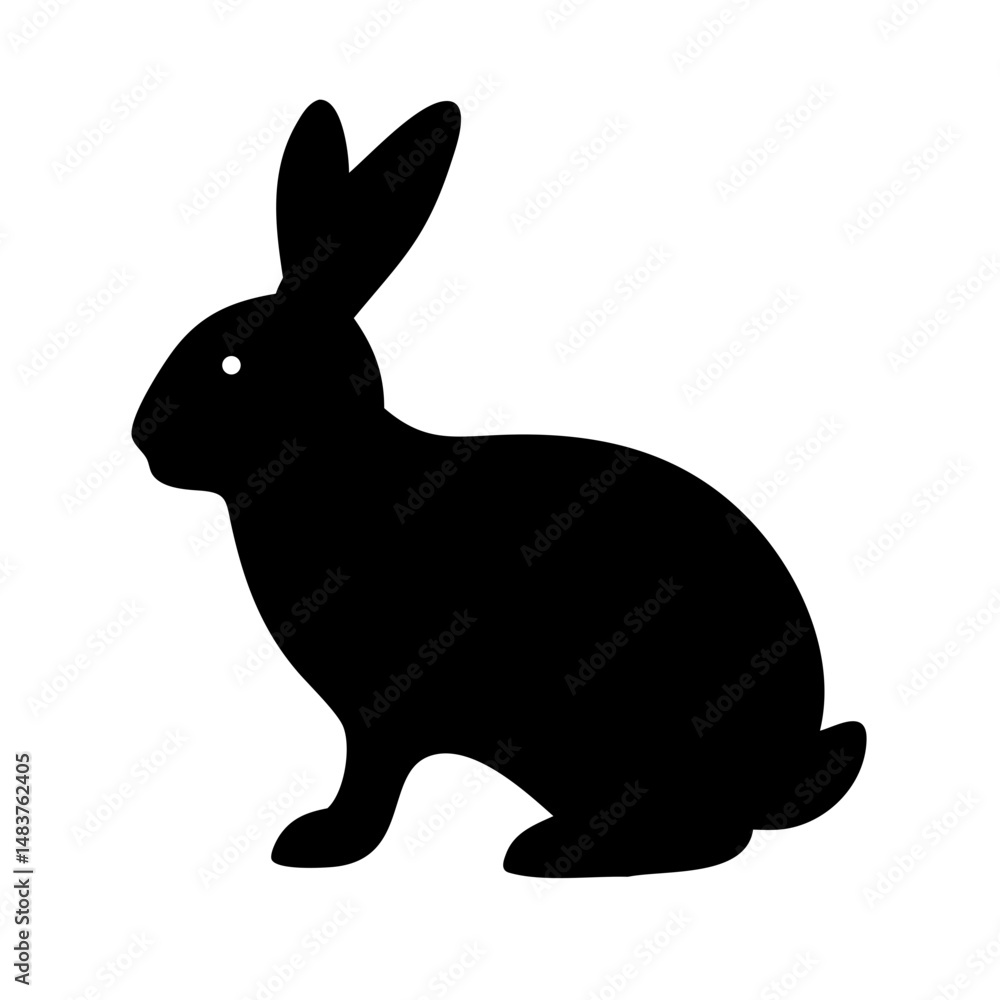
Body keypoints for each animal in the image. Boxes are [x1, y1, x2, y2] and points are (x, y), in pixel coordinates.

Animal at [133, 99, 866, 877]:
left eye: (231, 365)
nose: (141, 437)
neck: (335, 470)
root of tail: (782, 770)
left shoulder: (384, 713)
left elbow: (372, 778)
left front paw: (320, 842)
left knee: (708, 835)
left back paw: (550, 851)